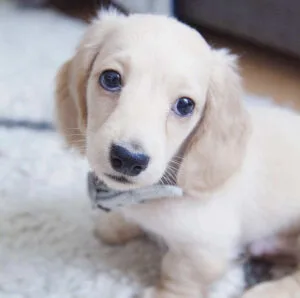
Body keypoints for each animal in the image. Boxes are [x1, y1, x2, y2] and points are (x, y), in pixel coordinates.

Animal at [55, 9, 300, 298]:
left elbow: (179, 272)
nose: (128, 159)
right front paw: (117, 225)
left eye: (185, 105)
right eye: (111, 78)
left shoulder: (205, 249)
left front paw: (165, 293)